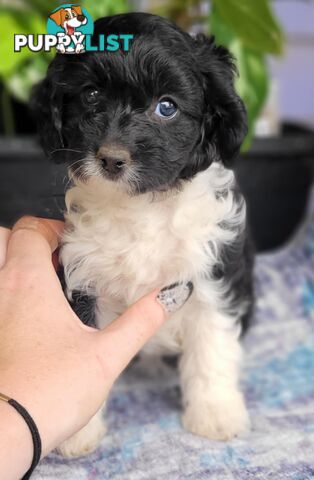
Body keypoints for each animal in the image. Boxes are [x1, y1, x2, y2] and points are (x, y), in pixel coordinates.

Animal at [33, 12, 255, 458]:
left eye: (166, 107)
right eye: (91, 95)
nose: (112, 159)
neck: (143, 206)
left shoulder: (212, 268)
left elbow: (213, 345)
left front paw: (216, 415)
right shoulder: (86, 277)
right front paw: (79, 432)